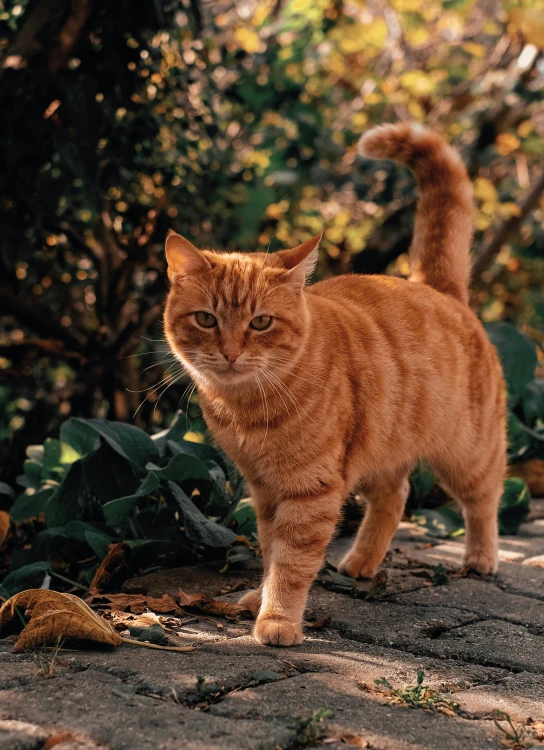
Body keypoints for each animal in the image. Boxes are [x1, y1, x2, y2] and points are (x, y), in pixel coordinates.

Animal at [162, 122, 506, 648]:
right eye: (206, 319)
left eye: (260, 323)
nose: (231, 352)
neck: (248, 409)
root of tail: (435, 286)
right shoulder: (265, 489)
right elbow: (270, 550)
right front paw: (257, 598)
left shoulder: (311, 490)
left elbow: (292, 562)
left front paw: (278, 619)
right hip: (382, 447)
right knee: (395, 497)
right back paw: (362, 562)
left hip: (465, 451)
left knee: (484, 498)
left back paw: (481, 557)